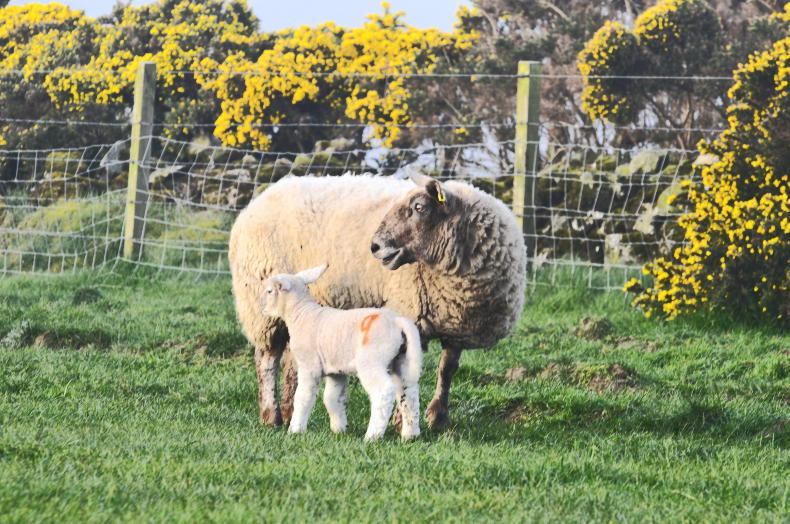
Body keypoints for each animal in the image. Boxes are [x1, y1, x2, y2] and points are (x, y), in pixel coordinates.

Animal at [260, 263, 422, 441]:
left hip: (371, 361)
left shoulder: (309, 365)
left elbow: (303, 397)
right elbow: (332, 398)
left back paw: (372, 436)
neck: (301, 314)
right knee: (409, 392)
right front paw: (339, 429)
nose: (261, 307)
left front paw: (295, 430)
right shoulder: (336, 371)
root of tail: (397, 321)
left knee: (384, 391)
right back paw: (410, 434)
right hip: (402, 360)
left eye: (269, 291)